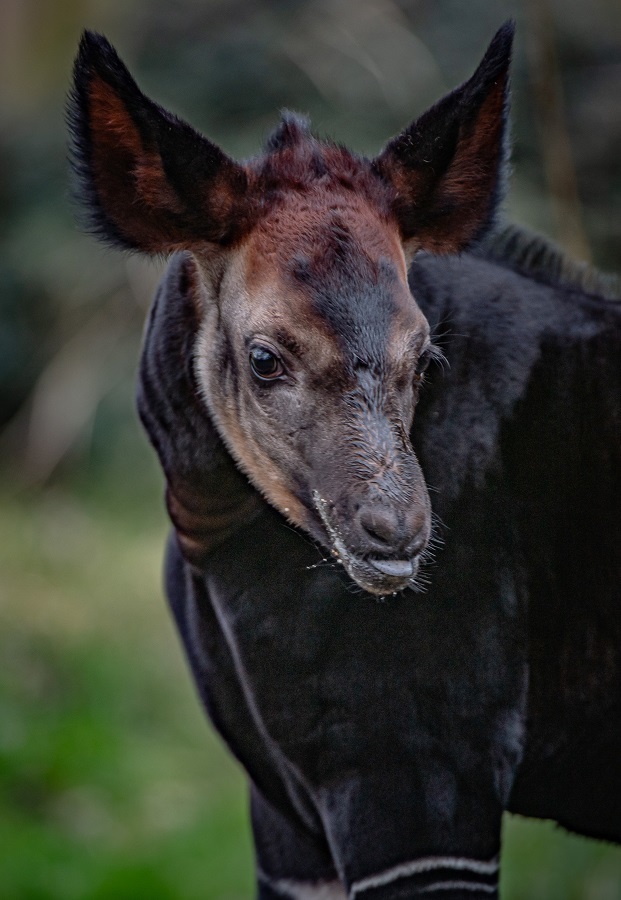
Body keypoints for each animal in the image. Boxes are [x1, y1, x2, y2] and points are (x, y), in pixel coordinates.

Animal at [69, 24, 620, 900]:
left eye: (423, 357)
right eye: (264, 358)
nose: (396, 533)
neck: (214, 543)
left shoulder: (422, 773)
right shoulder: (286, 816)